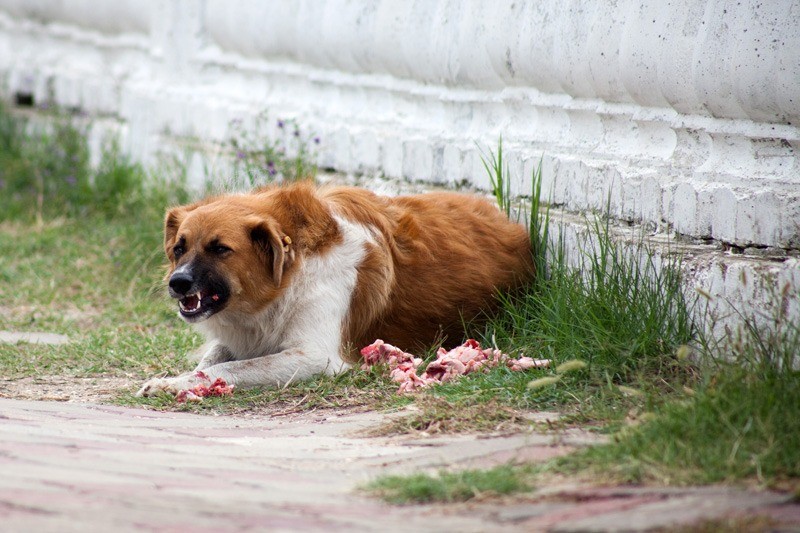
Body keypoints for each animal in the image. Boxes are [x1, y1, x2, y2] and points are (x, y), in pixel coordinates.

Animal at [137, 183, 532, 394]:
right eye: (179, 248)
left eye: (220, 249)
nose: (177, 283)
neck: (289, 273)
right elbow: (213, 358)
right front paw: (175, 379)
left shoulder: (316, 356)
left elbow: (228, 368)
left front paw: (176, 383)